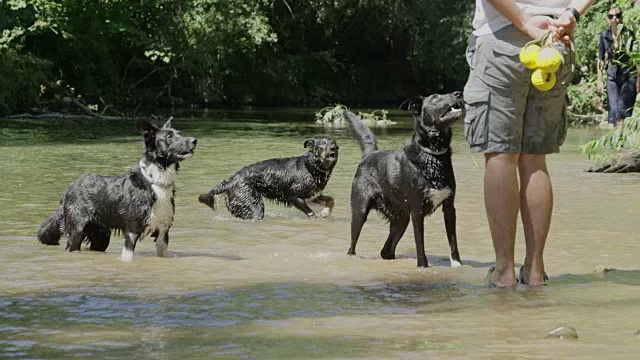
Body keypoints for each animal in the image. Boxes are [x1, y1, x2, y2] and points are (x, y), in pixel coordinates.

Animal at [36, 118, 196, 262]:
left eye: (180, 133)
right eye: (169, 136)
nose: (194, 140)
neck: (156, 182)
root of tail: (70, 187)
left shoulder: (163, 232)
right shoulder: (132, 231)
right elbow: (127, 258)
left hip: (100, 236)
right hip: (76, 231)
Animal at [344, 93, 464, 268]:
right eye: (435, 99)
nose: (458, 94)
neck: (433, 157)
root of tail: (369, 155)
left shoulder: (449, 207)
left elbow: (453, 241)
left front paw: (457, 265)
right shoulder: (417, 211)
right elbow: (420, 244)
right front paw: (422, 268)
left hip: (401, 220)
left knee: (386, 251)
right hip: (360, 212)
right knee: (352, 247)